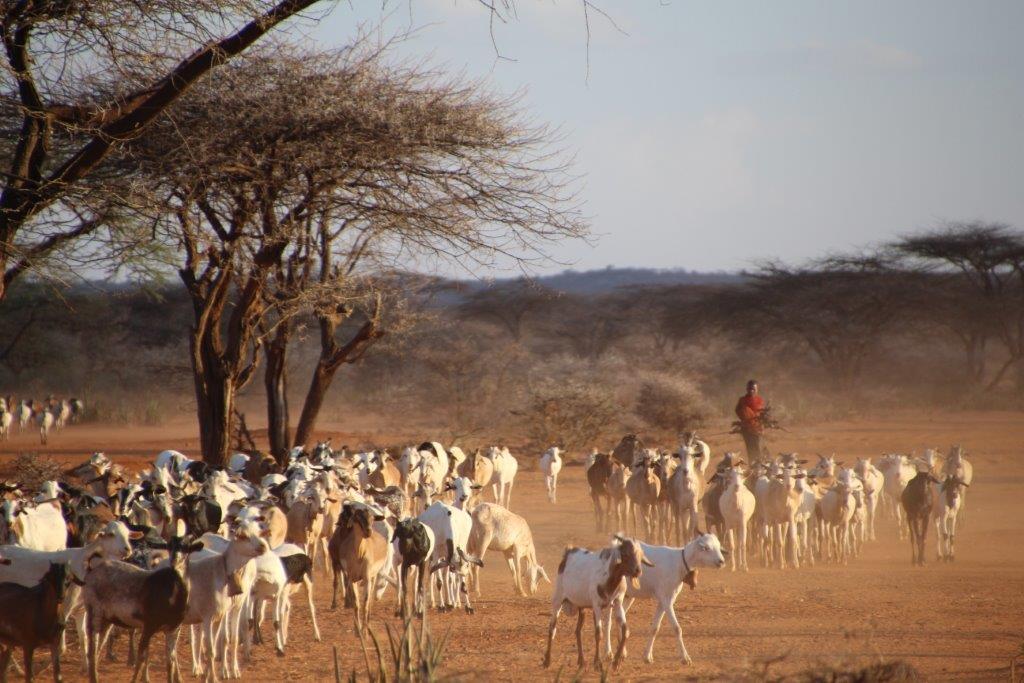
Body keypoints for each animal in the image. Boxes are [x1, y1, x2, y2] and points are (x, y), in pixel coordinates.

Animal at [540, 536, 651, 671]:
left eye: (639, 554)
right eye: (625, 553)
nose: (638, 571)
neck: (609, 578)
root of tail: (568, 554)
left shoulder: (617, 603)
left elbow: (625, 631)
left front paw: (616, 661)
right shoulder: (597, 606)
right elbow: (599, 633)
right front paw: (598, 663)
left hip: (581, 607)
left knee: (578, 631)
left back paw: (581, 661)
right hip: (558, 600)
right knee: (552, 628)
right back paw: (547, 661)